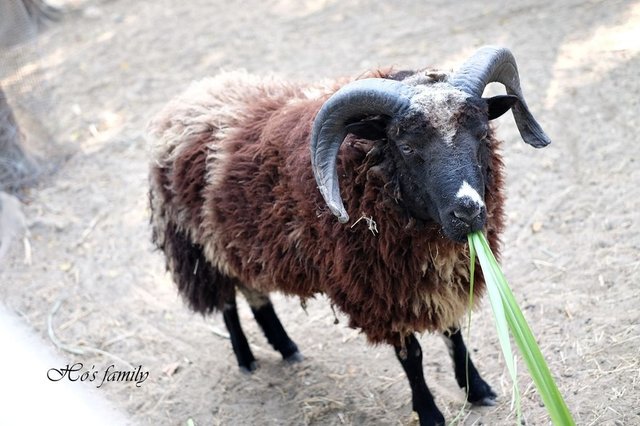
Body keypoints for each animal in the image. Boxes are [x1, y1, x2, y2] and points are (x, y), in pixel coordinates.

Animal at [146, 46, 552, 426]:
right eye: (407, 146)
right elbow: (412, 356)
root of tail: (189, 98)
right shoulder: (381, 291)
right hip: (202, 244)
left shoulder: (437, 279)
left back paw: (285, 346)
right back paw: (246, 358)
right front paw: (429, 413)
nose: (468, 212)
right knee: (228, 302)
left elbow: (453, 333)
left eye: (482, 133)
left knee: (254, 293)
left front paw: (477, 389)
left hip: (239, 245)